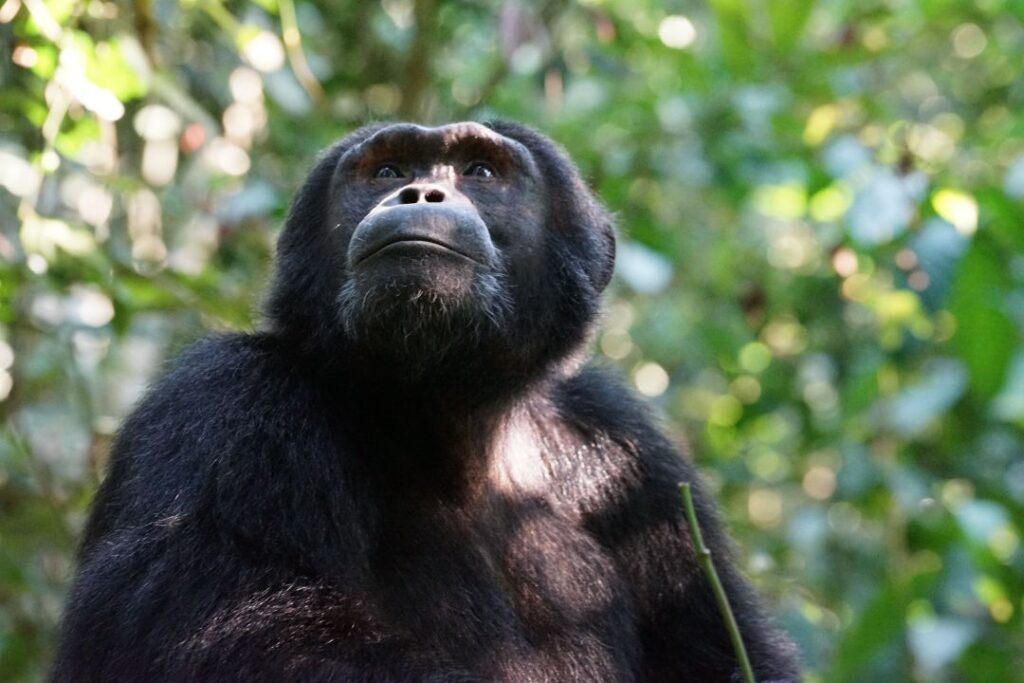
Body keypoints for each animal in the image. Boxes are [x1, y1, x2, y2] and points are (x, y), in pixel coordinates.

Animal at [51, 120, 802, 679]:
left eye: (481, 171)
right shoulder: (221, 409)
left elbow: (722, 650)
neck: (447, 416)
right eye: (385, 170)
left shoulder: (628, 457)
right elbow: (210, 634)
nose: (418, 192)